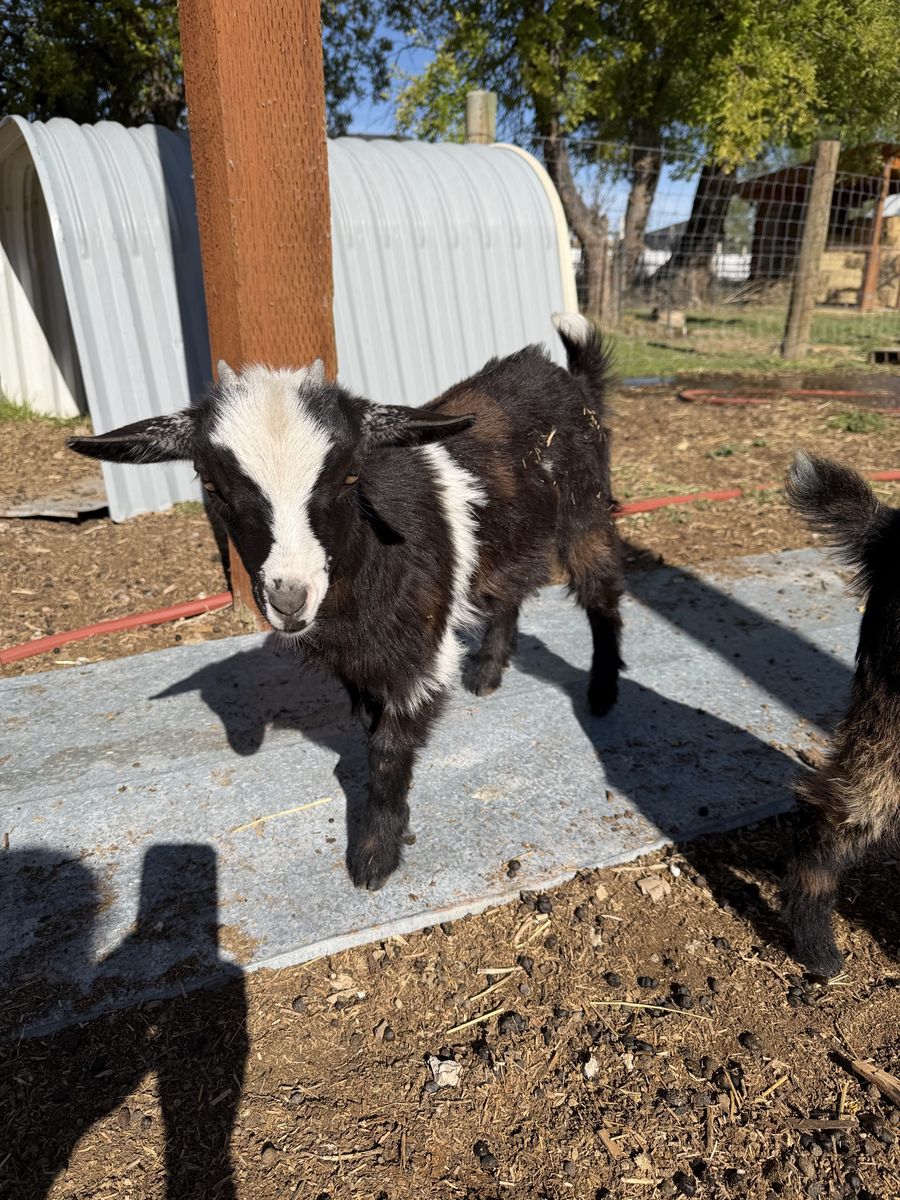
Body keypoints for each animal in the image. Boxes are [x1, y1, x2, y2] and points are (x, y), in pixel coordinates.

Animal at [67, 315, 623, 890]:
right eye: (212, 485)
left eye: (351, 475)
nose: (289, 599)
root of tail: (569, 378)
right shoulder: (353, 660)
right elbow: (366, 722)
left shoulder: (420, 655)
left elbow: (387, 750)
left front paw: (375, 856)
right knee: (507, 590)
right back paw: (488, 671)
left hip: (586, 511)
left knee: (601, 592)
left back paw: (603, 691)